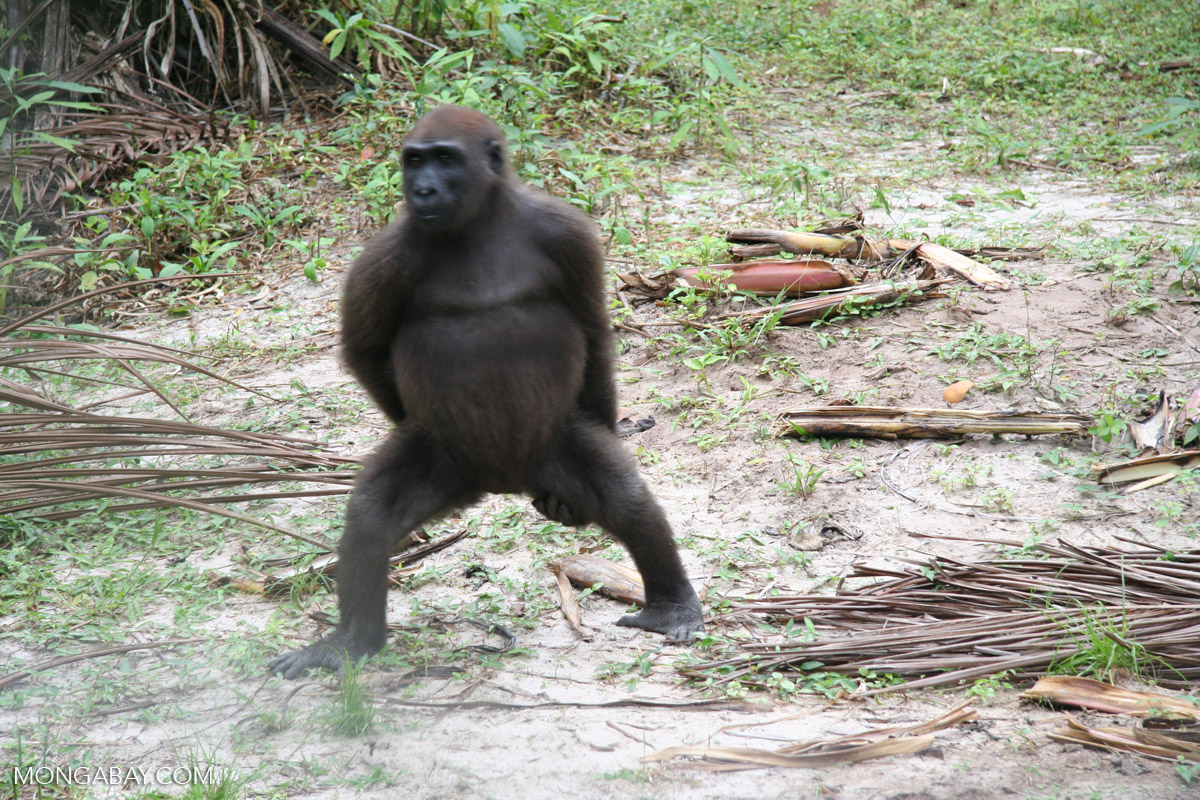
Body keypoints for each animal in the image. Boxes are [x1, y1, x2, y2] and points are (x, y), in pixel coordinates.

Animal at [268, 105, 704, 678]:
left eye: (446, 159)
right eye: (414, 162)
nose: (423, 190)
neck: (480, 220)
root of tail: (502, 483)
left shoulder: (566, 231)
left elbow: (591, 329)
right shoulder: (382, 257)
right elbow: (365, 352)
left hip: (548, 447)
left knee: (627, 501)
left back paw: (670, 606)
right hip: (449, 457)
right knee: (371, 517)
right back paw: (353, 641)